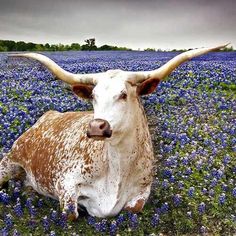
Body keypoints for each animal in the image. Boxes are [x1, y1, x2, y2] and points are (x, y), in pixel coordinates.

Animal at [0, 43, 229, 218]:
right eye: (93, 96)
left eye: (123, 94)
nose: (96, 127)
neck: (117, 166)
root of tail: (47, 114)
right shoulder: (65, 182)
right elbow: (71, 213)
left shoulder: (142, 191)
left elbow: (133, 209)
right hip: (8, 163)